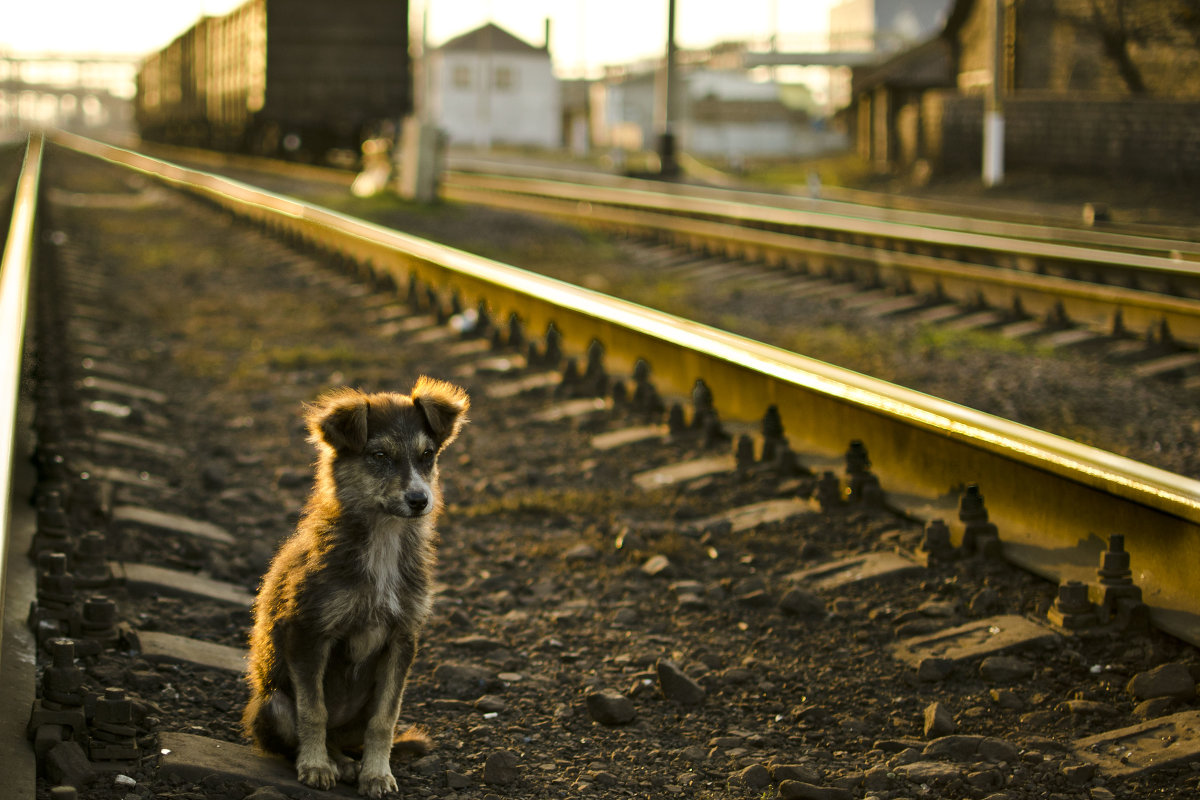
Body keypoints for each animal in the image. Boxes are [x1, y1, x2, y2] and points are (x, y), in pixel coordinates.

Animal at [242, 379, 468, 796]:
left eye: (427, 456)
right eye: (378, 455)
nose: (420, 500)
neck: (384, 540)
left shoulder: (402, 638)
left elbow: (384, 719)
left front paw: (377, 774)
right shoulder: (307, 631)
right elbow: (313, 711)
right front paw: (315, 766)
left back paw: (351, 762)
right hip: (274, 703)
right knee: (299, 730)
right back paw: (334, 761)